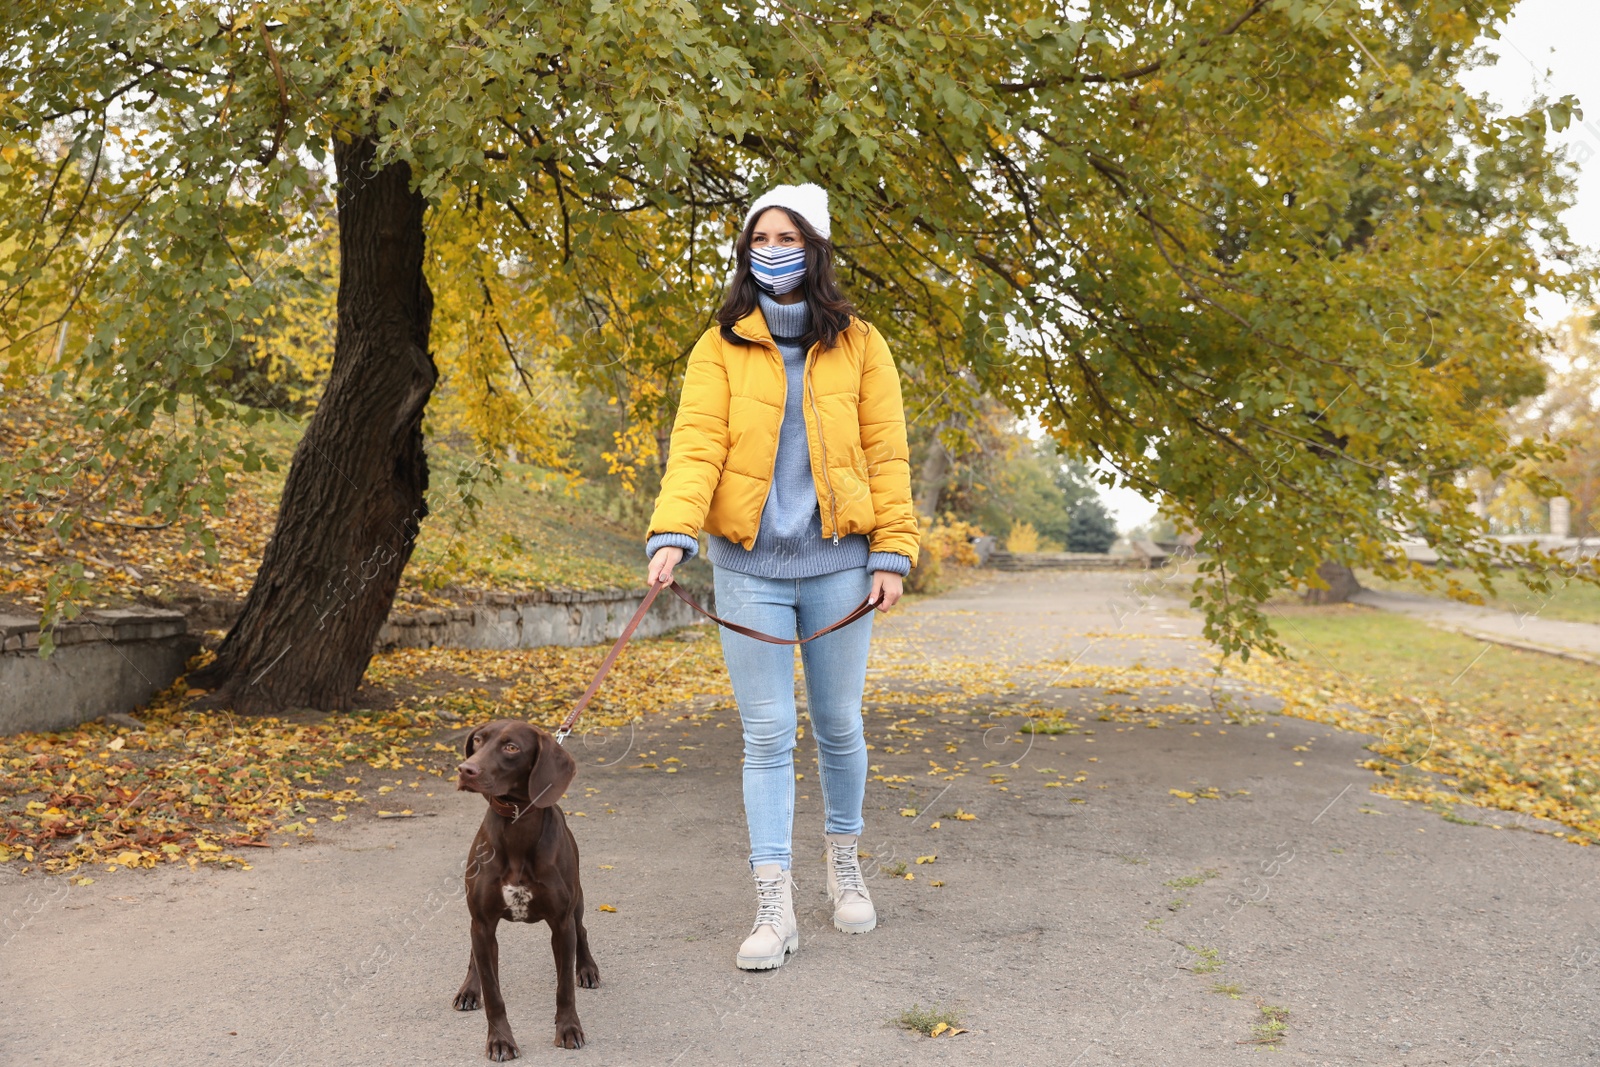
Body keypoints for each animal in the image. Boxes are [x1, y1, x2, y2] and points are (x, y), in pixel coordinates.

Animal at [454, 716, 598, 1062]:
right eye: (477, 741)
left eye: (511, 747)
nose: (465, 769)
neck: (517, 825)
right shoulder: (482, 923)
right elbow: (493, 992)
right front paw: (501, 1041)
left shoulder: (561, 924)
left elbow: (564, 988)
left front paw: (568, 1029)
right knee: (475, 954)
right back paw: (469, 988)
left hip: (577, 904)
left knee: (582, 930)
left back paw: (587, 968)